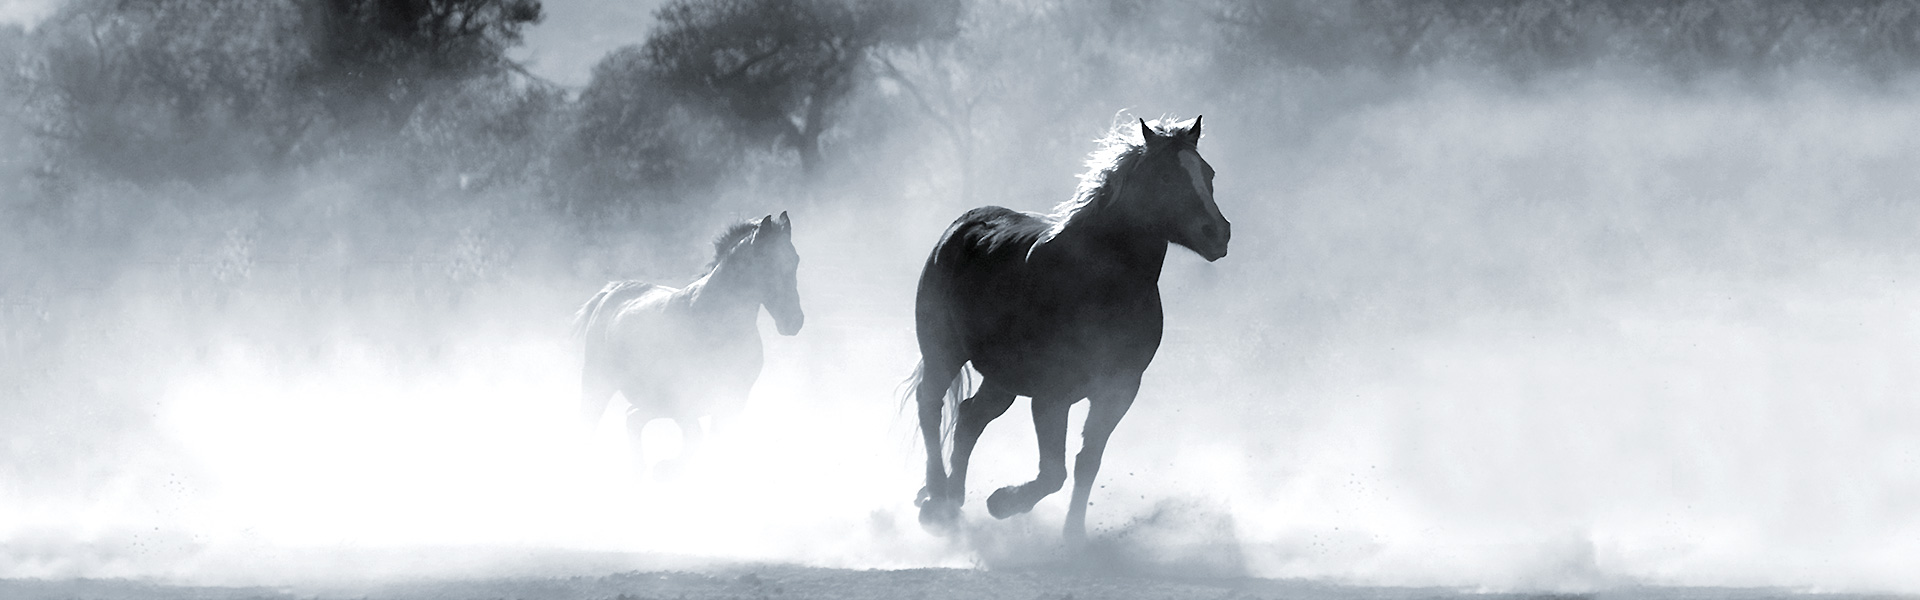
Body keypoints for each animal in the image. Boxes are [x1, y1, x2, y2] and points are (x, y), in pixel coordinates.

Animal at [574, 212, 803, 473]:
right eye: (766, 261)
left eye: (795, 260)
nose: (794, 321)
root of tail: (611, 292)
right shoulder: (682, 401)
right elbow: (696, 439)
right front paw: (665, 469)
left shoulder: (732, 400)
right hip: (597, 382)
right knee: (591, 424)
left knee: (632, 419)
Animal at [907, 116, 1229, 544]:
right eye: (1165, 176)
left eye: (1207, 174)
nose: (1218, 233)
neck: (1099, 284)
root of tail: (961, 227)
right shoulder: (1051, 394)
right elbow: (1053, 472)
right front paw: (1003, 502)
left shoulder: (1118, 390)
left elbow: (1086, 462)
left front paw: (1073, 536)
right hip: (943, 352)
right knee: (931, 406)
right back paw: (937, 500)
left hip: (1002, 379)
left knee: (970, 416)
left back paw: (954, 501)